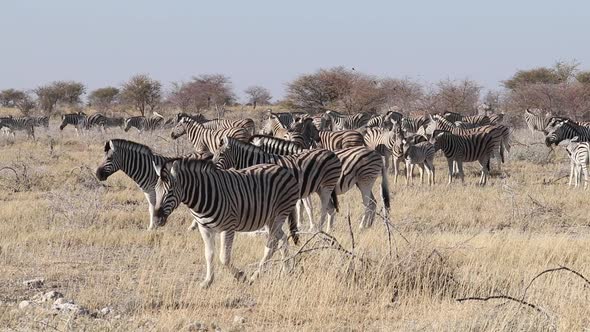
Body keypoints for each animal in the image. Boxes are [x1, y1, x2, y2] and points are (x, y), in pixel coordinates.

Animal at [153, 158, 300, 288]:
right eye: (155, 190)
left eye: (170, 191)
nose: (156, 220)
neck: (203, 195)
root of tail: (283, 169)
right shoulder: (204, 228)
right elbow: (209, 254)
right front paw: (208, 281)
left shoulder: (228, 227)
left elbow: (224, 257)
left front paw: (241, 276)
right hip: (269, 220)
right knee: (282, 239)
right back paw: (287, 270)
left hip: (278, 215)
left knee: (272, 244)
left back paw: (254, 277)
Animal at [213, 137, 342, 231]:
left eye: (221, 154)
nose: (212, 169)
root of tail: (331, 153)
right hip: (320, 188)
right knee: (331, 209)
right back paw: (329, 230)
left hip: (326, 186)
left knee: (324, 208)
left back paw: (319, 230)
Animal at [252, 136, 390, 230]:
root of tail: (377, 154)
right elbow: (301, 206)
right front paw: (302, 224)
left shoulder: (304, 188)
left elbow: (308, 207)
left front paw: (311, 226)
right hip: (363, 183)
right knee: (373, 202)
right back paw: (368, 225)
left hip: (366, 180)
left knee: (368, 203)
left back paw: (362, 226)